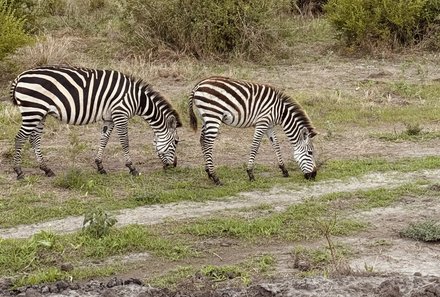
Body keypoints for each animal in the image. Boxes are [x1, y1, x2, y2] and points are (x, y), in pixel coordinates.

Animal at [10, 65, 182, 179]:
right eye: (176, 141)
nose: (174, 166)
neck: (138, 100)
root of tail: (20, 76)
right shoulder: (120, 114)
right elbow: (125, 141)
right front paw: (132, 168)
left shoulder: (109, 118)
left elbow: (104, 140)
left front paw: (100, 166)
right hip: (33, 110)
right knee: (20, 138)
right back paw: (19, 171)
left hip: (40, 113)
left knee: (34, 139)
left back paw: (46, 169)